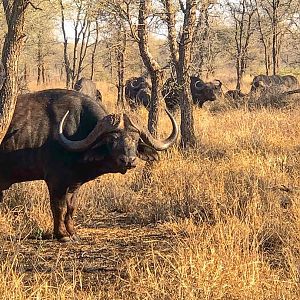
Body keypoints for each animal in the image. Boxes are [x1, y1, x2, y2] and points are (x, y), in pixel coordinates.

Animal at [0, 88, 178, 241]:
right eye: (112, 140)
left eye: (135, 139)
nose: (128, 160)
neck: (75, 131)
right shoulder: (55, 181)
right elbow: (58, 206)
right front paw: (61, 235)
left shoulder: (74, 183)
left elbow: (71, 207)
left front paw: (73, 232)